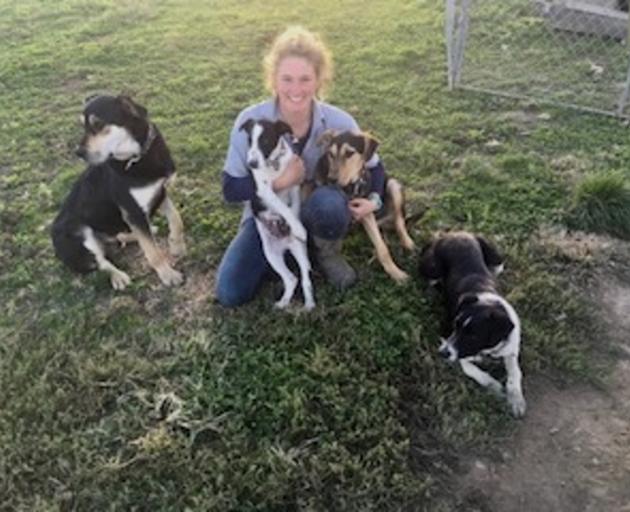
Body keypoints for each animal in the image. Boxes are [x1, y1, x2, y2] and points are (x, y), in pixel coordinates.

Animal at [51, 94, 185, 290]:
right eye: (83, 125)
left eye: (98, 124)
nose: (79, 153)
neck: (137, 156)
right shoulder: (133, 212)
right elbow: (152, 252)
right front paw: (168, 275)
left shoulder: (160, 192)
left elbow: (176, 218)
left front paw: (176, 245)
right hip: (78, 231)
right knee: (101, 262)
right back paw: (118, 276)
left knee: (121, 237)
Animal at [238, 118, 314, 310]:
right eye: (249, 140)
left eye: (265, 141)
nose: (252, 164)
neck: (273, 164)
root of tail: (284, 245)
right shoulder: (264, 191)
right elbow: (282, 206)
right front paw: (295, 225)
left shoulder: (295, 184)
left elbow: (293, 207)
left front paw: (298, 227)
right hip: (271, 255)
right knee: (292, 279)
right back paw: (284, 302)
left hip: (300, 251)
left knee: (305, 277)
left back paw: (309, 303)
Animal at [314, 130, 414, 282]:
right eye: (330, 154)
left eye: (349, 153)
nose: (331, 179)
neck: (348, 189)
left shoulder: (365, 211)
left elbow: (382, 248)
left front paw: (396, 273)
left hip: (393, 185)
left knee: (399, 222)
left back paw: (407, 242)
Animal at [420, 231, 528, 416]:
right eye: (455, 326)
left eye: (474, 335)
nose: (441, 354)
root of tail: (451, 233)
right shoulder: (445, 333)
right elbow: (470, 368)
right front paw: (494, 388)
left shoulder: (511, 348)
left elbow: (515, 372)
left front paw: (516, 399)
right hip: (433, 268)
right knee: (431, 280)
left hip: (497, 260)